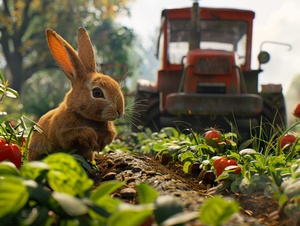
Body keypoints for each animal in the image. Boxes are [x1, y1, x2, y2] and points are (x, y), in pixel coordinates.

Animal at [28, 27, 125, 162]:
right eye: (97, 93)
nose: (120, 111)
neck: (86, 117)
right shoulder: (64, 132)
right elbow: (76, 134)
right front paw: (92, 138)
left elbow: (111, 134)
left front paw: (100, 143)